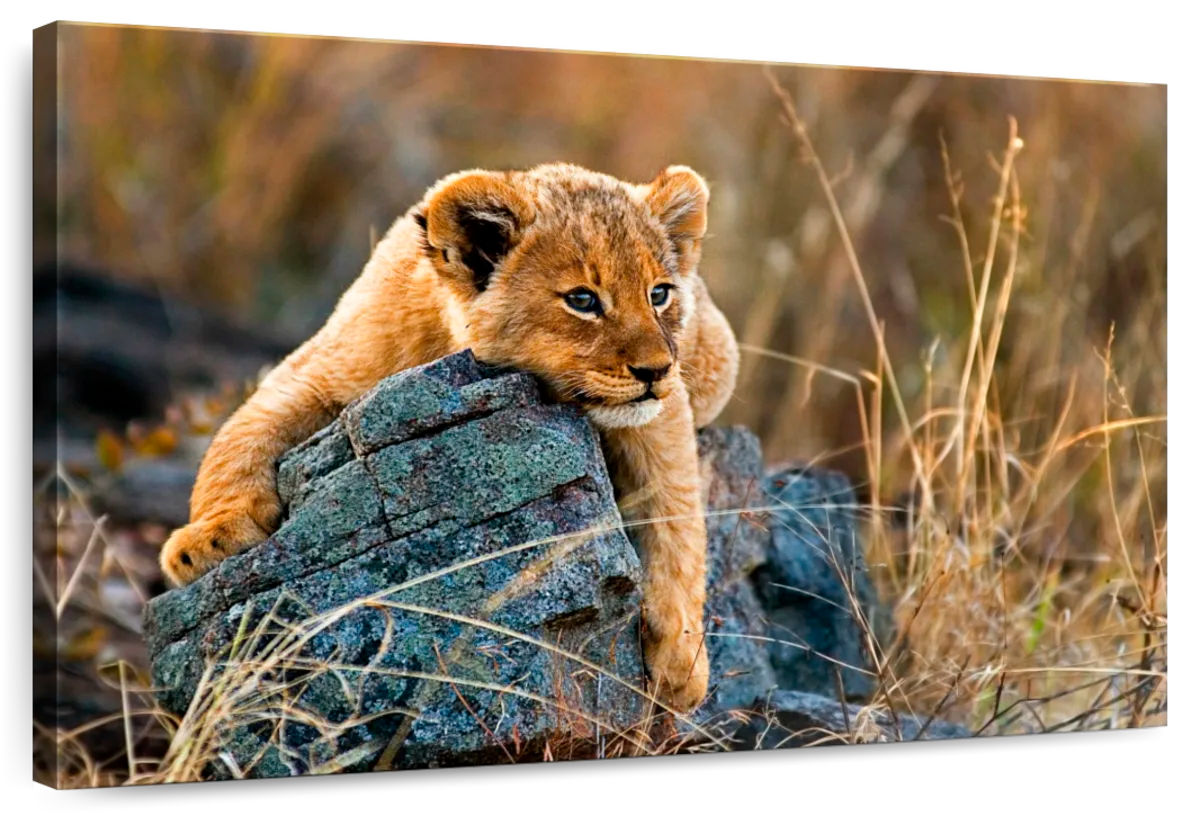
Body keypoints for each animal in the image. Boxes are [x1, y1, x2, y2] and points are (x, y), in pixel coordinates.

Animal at [160, 163, 740, 712]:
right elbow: (240, 434)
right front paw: (205, 541)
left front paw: (681, 662)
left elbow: (677, 517)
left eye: (659, 293)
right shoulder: (317, 369)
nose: (656, 370)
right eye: (582, 299)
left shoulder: (662, 415)